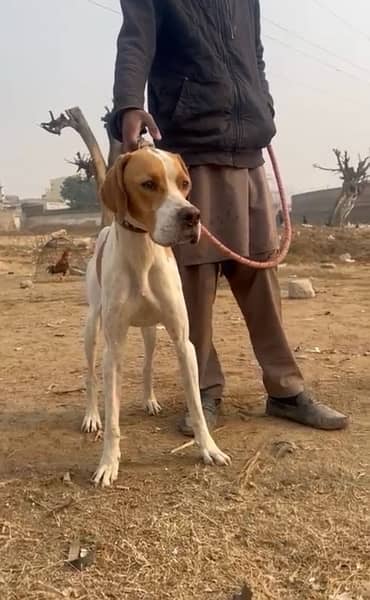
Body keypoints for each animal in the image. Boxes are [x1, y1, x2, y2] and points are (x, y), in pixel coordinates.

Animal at [83, 146, 231, 488]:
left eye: (185, 183)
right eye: (148, 184)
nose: (192, 216)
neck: (143, 253)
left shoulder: (183, 342)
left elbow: (197, 407)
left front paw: (209, 449)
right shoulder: (113, 348)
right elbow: (113, 419)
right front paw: (108, 463)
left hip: (151, 331)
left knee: (148, 364)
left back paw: (149, 399)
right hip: (92, 329)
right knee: (92, 377)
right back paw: (92, 415)